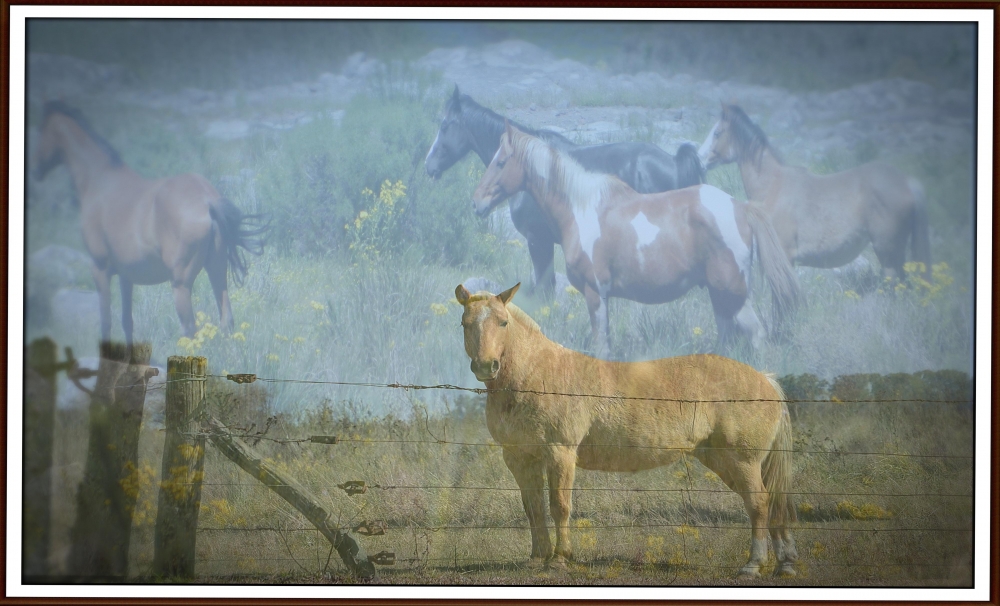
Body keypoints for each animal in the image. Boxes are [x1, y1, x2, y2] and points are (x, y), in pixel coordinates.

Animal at [32, 102, 268, 344]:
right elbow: (127, 322)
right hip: (217, 270)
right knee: (226, 320)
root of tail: (207, 200)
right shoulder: (126, 276)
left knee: (190, 329)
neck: (100, 181)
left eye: (41, 130)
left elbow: (106, 324)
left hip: (181, 283)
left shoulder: (100, 270)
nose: (36, 170)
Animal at [456, 284, 796, 580]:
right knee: (770, 503)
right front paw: (537, 559)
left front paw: (559, 560)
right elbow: (533, 509)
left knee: (759, 503)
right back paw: (784, 563)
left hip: (742, 460)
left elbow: (559, 506)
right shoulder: (519, 458)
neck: (536, 376)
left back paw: (753, 566)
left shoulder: (560, 453)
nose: (486, 366)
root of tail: (766, 380)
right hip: (724, 460)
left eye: (503, 322)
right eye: (465, 323)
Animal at [472, 123, 800, 358]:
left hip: (734, 294)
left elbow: (602, 350)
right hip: (720, 297)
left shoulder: (596, 294)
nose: (478, 204)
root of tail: (740, 207)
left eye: (501, 162)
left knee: (758, 337)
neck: (581, 208)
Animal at [696, 105, 928, 282]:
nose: (699, 158)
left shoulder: (785, 257)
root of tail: (907, 182)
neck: (772, 186)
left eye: (717, 133)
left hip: (887, 252)